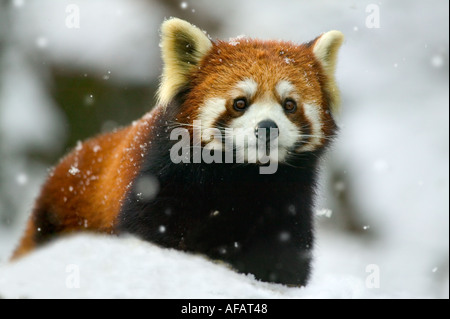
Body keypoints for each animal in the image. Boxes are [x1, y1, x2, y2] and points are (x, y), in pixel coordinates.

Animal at [11, 18, 344, 288]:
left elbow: (284, 258)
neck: (239, 176)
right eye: (240, 103)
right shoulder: (160, 179)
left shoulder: (286, 200)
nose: (267, 127)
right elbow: (150, 232)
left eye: (289, 105)